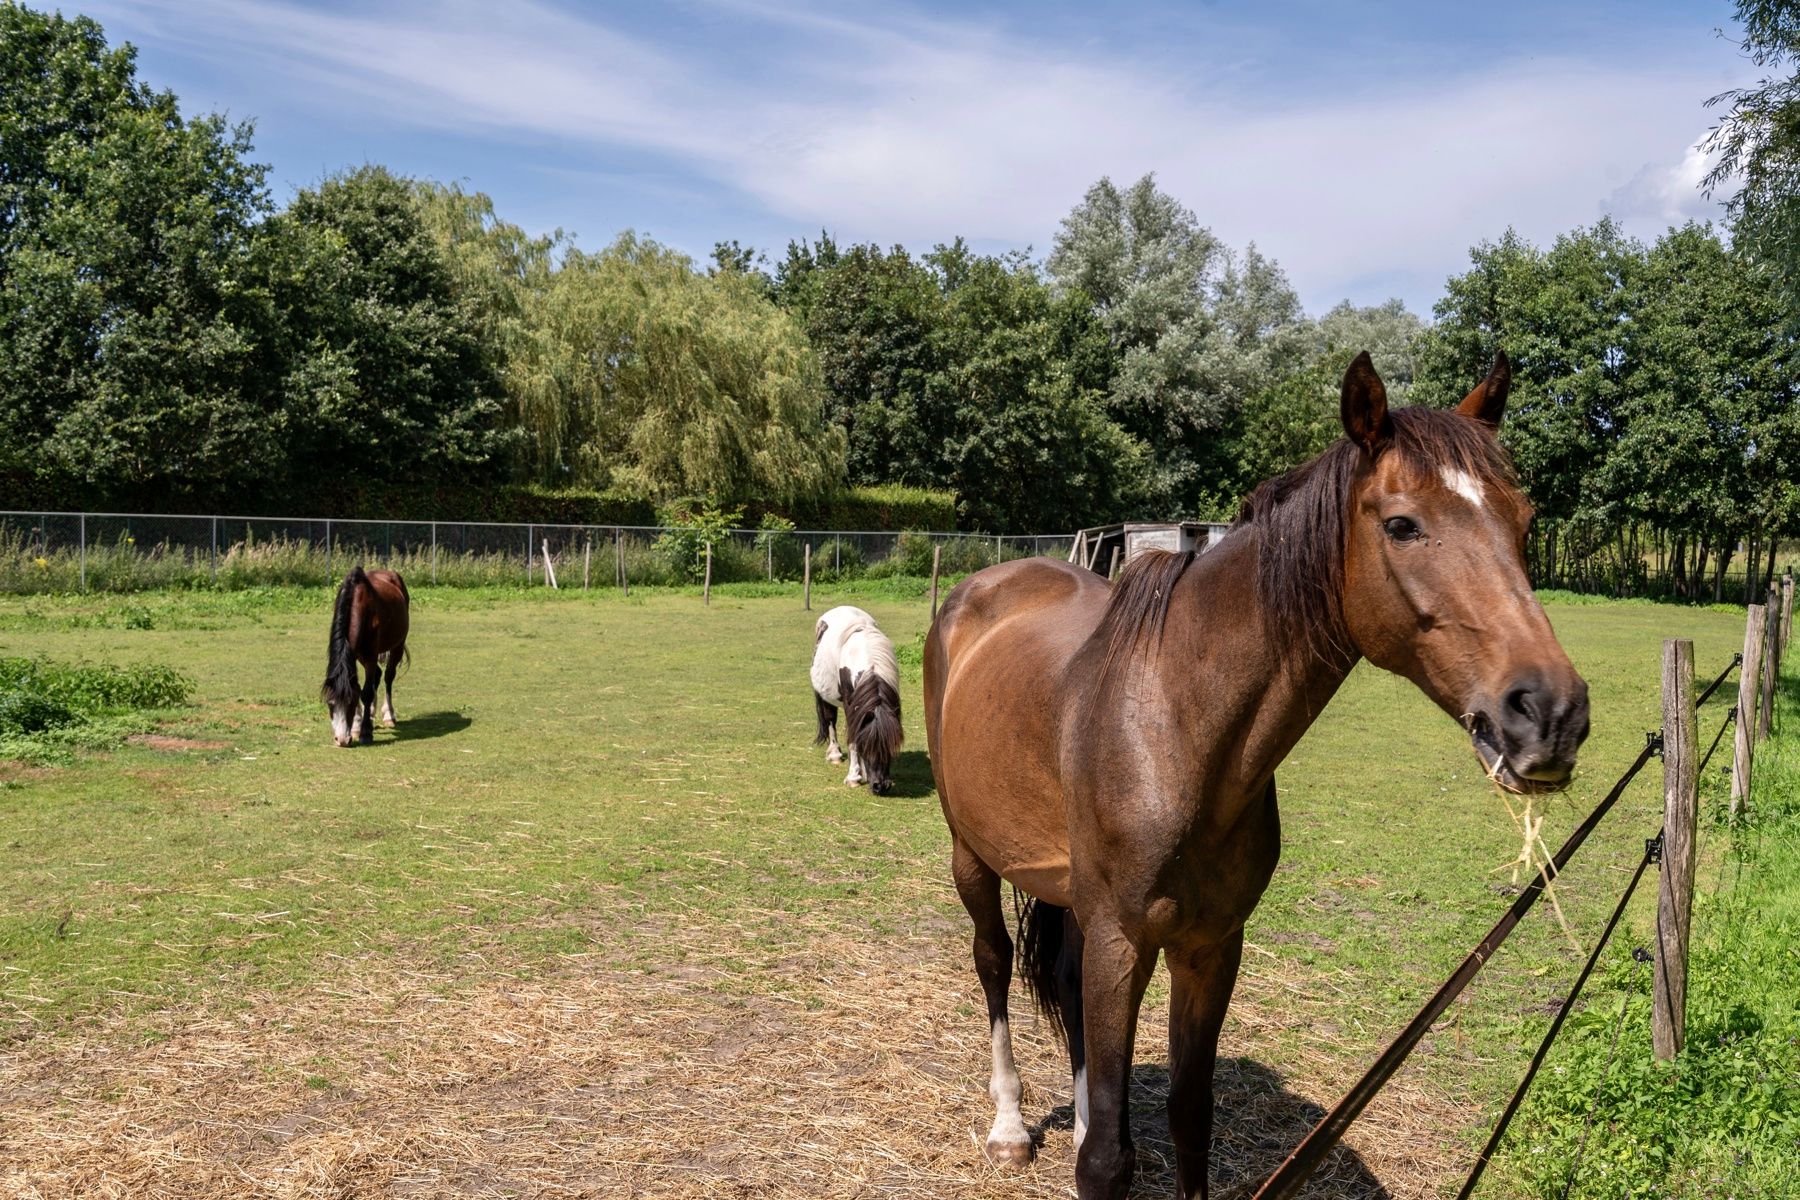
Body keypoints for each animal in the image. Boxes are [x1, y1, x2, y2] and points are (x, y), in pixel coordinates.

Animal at [322, 568, 412, 744]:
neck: (358, 604)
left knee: (388, 676)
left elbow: (366, 692)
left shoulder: (370, 655)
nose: (341, 740)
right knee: (377, 675)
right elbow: (358, 687)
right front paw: (357, 725)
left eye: (350, 703)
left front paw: (365, 732)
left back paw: (388, 715)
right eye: (330, 703)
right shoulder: (356, 655)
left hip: (397, 646)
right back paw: (369, 713)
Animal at [928, 352, 1591, 1194]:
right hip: (972, 853)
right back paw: (1011, 1126)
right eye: (1401, 524)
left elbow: (1188, 1118)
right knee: (992, 962)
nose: (1552, 713)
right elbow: (1106, 1160)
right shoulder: (1124, 940)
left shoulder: (1211, 947)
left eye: (1525, 523)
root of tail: (985, 586)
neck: (1177, 728)